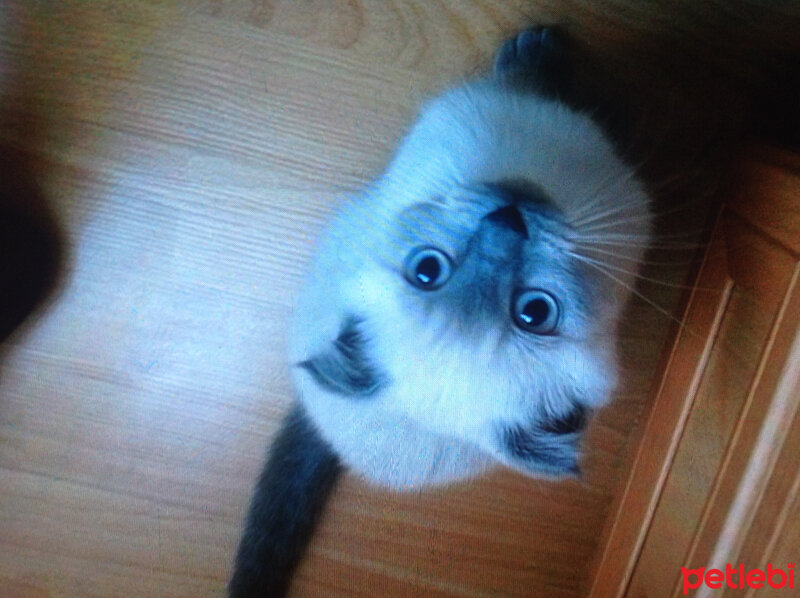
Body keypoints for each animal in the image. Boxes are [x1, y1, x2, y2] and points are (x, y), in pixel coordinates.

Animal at [228, 25, 652, 596]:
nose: (507, 221)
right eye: (427, 270)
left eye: (535, 312)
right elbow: (527, 79)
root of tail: (327, 425)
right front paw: (546, 52)